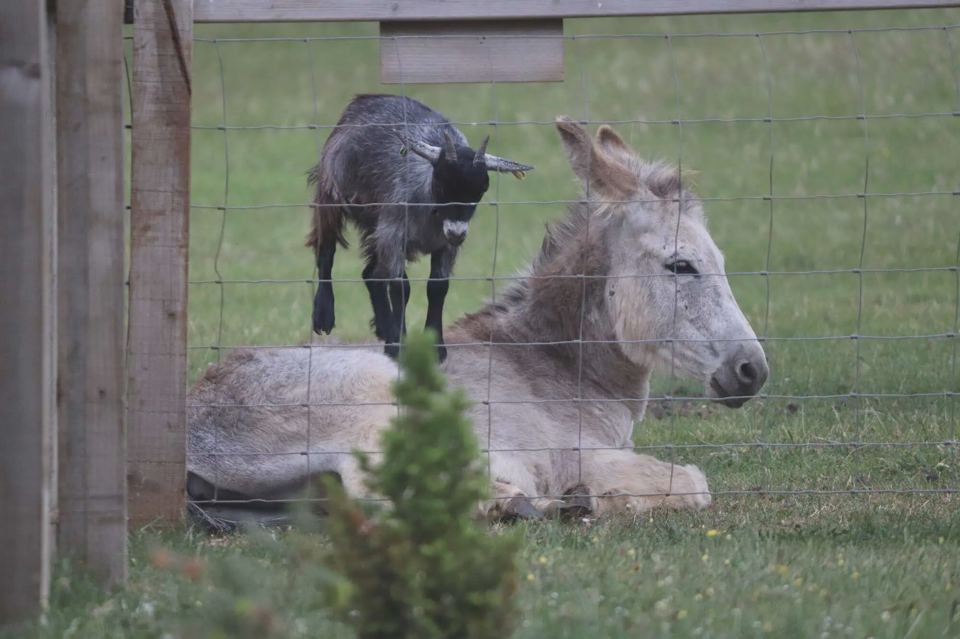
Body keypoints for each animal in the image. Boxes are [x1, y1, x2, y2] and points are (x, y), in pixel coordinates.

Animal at [307, 94, 534, 361]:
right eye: (441, 182)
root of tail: (364, 99)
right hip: (331, 194)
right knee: (326, 249)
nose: (456, 232)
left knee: (371, 274)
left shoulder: (445, 245)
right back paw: (324, 314)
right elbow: (400, 287)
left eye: (482, 189)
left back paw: (384, 327)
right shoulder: (394, 234)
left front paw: (436, 347)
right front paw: (398, 346)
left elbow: (437, 287)